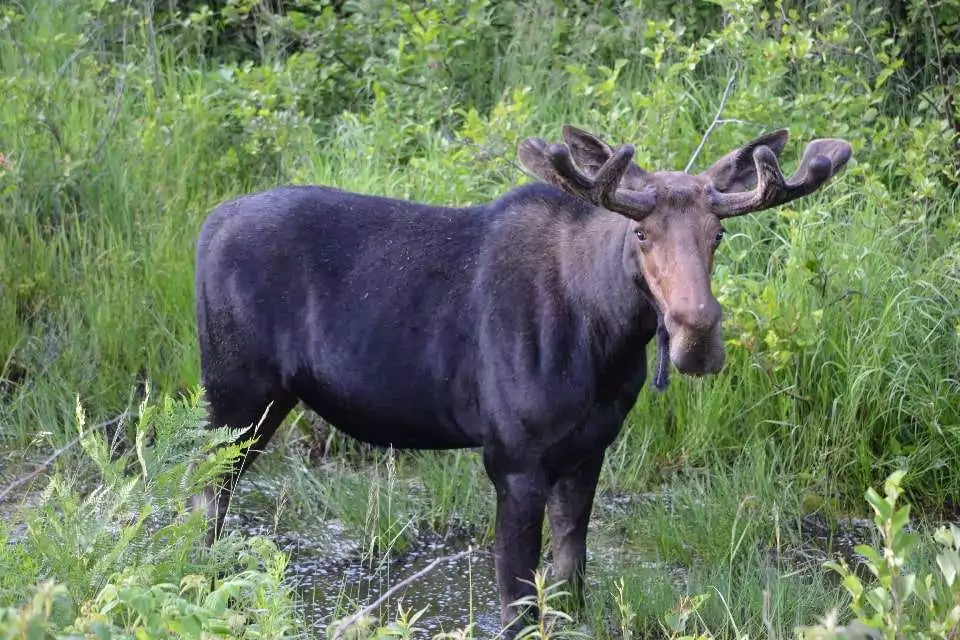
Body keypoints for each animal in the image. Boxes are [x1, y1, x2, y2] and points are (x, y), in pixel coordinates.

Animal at [191, 125, 852, 636]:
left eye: (718, 234)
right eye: (641, 234)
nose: (698, 337)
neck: (606, 336)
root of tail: (204, 227)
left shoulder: (587, 451)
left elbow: (571, 581)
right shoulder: (512, 458)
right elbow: (518, 604)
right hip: (234, 398)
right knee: (202, 497)